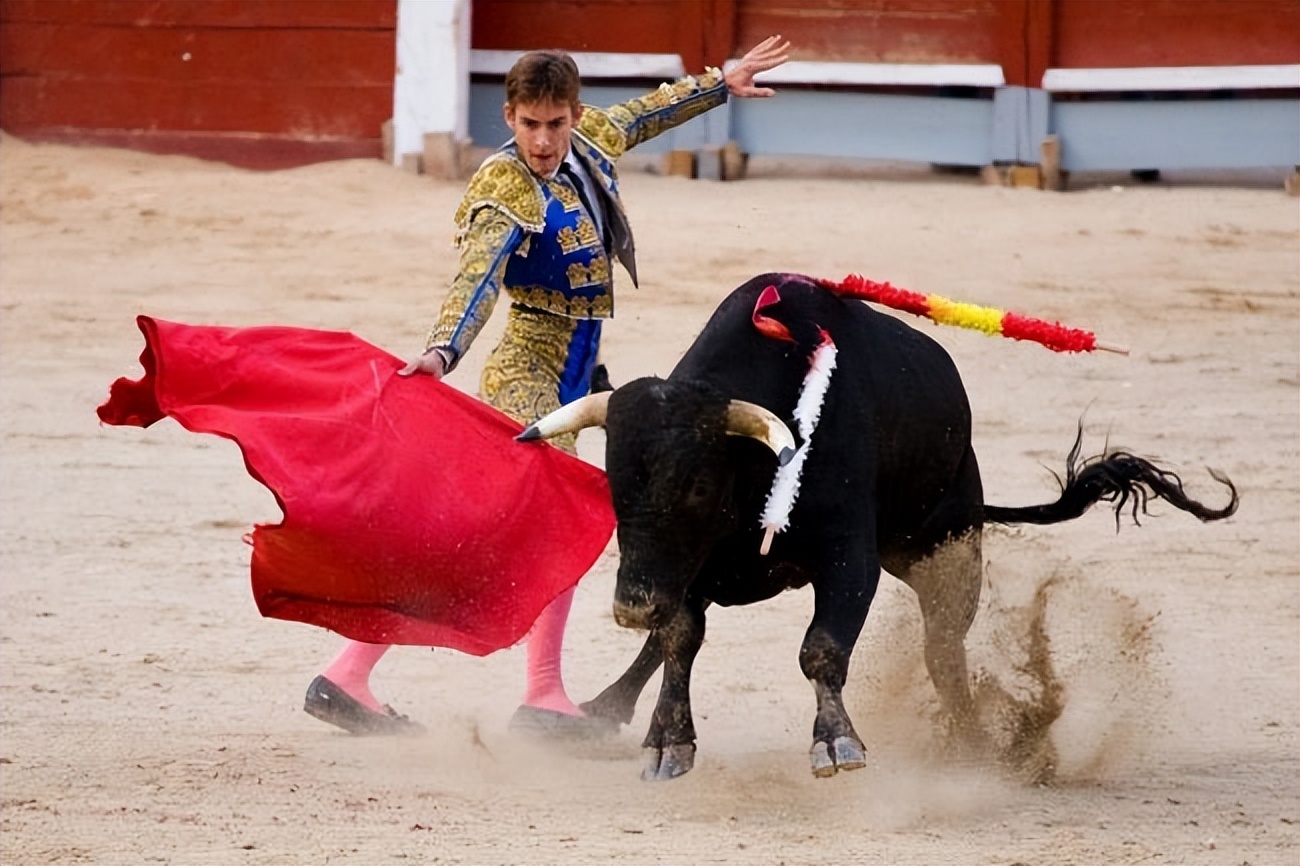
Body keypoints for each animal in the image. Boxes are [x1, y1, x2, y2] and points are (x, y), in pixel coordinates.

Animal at [517, 273, 1237, 780]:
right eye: (613, 483)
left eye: (695, 484)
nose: (631, 605)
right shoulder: (690, 568)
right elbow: (678, 640)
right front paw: (668, 742)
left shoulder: (847, 557)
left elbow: (821, 648)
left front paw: (837, 743)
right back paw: (599, 710)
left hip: (947, 545)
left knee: (944, 651)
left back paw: (974, 747)